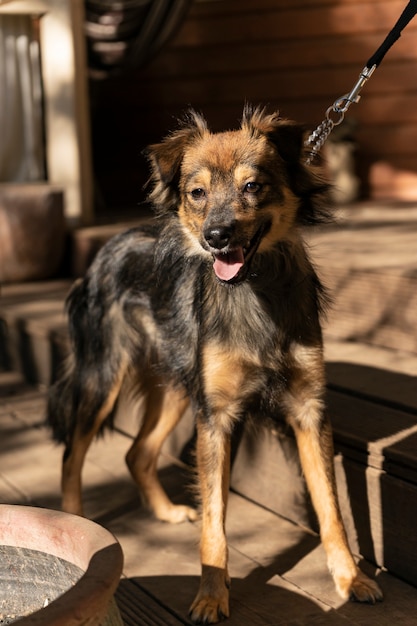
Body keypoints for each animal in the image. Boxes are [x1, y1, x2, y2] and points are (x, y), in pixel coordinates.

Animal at [47, 106, 382, 620]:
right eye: (197, 193)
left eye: (253, 186)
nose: (216, 237)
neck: (253, 290)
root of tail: (108, 245)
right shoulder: (217, 416)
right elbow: (215, 519)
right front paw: (210, 593)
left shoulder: (308, 411)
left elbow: (330, 509)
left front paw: (350, 579)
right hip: (105, 376)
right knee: (72, 453)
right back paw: (75, 522)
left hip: (176, 388)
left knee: (136, 452)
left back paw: (165, 512)